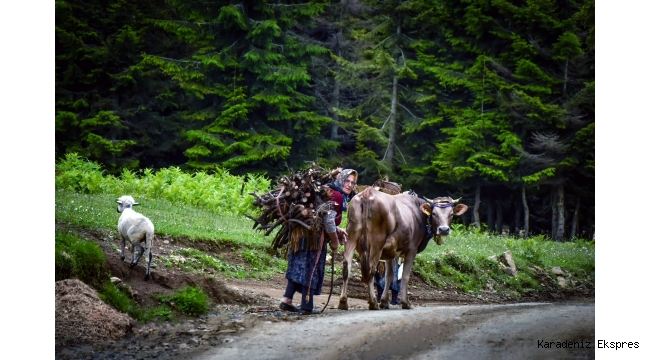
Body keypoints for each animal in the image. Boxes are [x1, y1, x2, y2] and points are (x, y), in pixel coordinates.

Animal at [336, 188, 464, 310]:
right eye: (434, 213)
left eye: (451, 214)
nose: (444, 229)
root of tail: (368, 192)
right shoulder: (412, 250)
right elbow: (405, 276)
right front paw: (405, 302)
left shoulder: (390, 252)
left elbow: (389, 275)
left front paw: (384, 302)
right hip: (376, 242)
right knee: (371, 269)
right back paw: (373, 303)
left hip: (351, 235)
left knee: (346, 267)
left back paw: (343, 302)